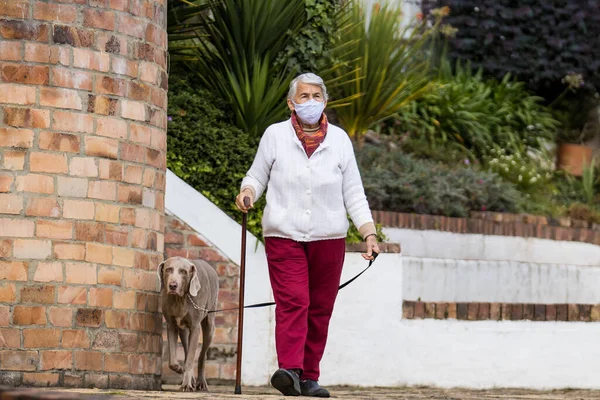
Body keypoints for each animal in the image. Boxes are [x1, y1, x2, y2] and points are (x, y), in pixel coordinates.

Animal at [156, 256, 219, 390]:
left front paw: (186, 384)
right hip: (183, 330)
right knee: (186, 349)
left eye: (183, 272)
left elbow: (191, 358)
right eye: (168, 269)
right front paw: (180, 369)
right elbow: (173, 361)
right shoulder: (171, 325)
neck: (180, 299)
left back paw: (201, 382)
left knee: (202, 355)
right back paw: (192, 378)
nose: (172, 285)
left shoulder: (195, 327)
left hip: (210, 325)